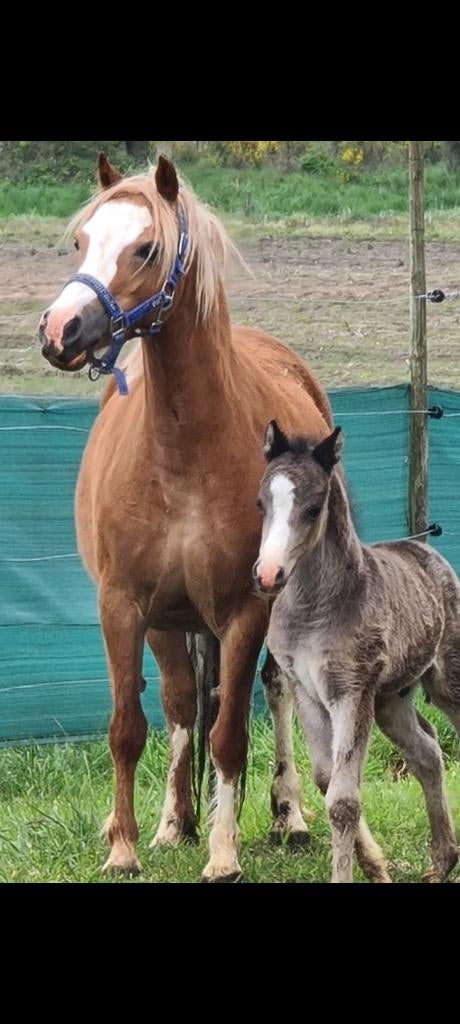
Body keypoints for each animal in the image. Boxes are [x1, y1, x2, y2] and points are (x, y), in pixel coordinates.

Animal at [38, 152, 332, 881]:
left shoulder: (247, 608)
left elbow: (228, 735)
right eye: (81, 242)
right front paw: (124, 846)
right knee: (176, 703)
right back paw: (174, 823)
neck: (182, 449)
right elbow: (128, 726)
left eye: (145, 248)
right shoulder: (122, 605)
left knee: (274, 691)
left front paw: (224, 853)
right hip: (169, 623)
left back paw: (287, 816)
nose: (58, 331)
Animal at [254, 420, 460, 882]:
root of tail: (428, 550)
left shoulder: (352, 691)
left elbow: (344, 802)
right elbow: (326, 780)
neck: (313, 609)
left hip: (446, 682)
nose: (268, 574)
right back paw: (442, 861)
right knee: (427, 754)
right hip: (391, 701)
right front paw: (377, 868)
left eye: (314, 509)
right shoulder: (306, 690)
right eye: (261, 504)